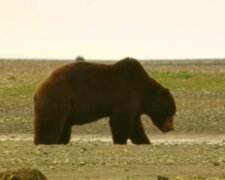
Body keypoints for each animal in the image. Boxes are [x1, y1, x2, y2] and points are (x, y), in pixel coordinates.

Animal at [33, 57, 176, 145]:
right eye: (171, 112)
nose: (170, 128)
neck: (144, 92)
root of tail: (39, 87)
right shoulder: (126, 95)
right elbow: (120, 121)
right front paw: (120, 140)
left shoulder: (136, 105)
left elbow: (136, 126)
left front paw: (145, 141)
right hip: (58, 98)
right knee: (51, 124)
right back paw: (44, 141)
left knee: (63, 127)